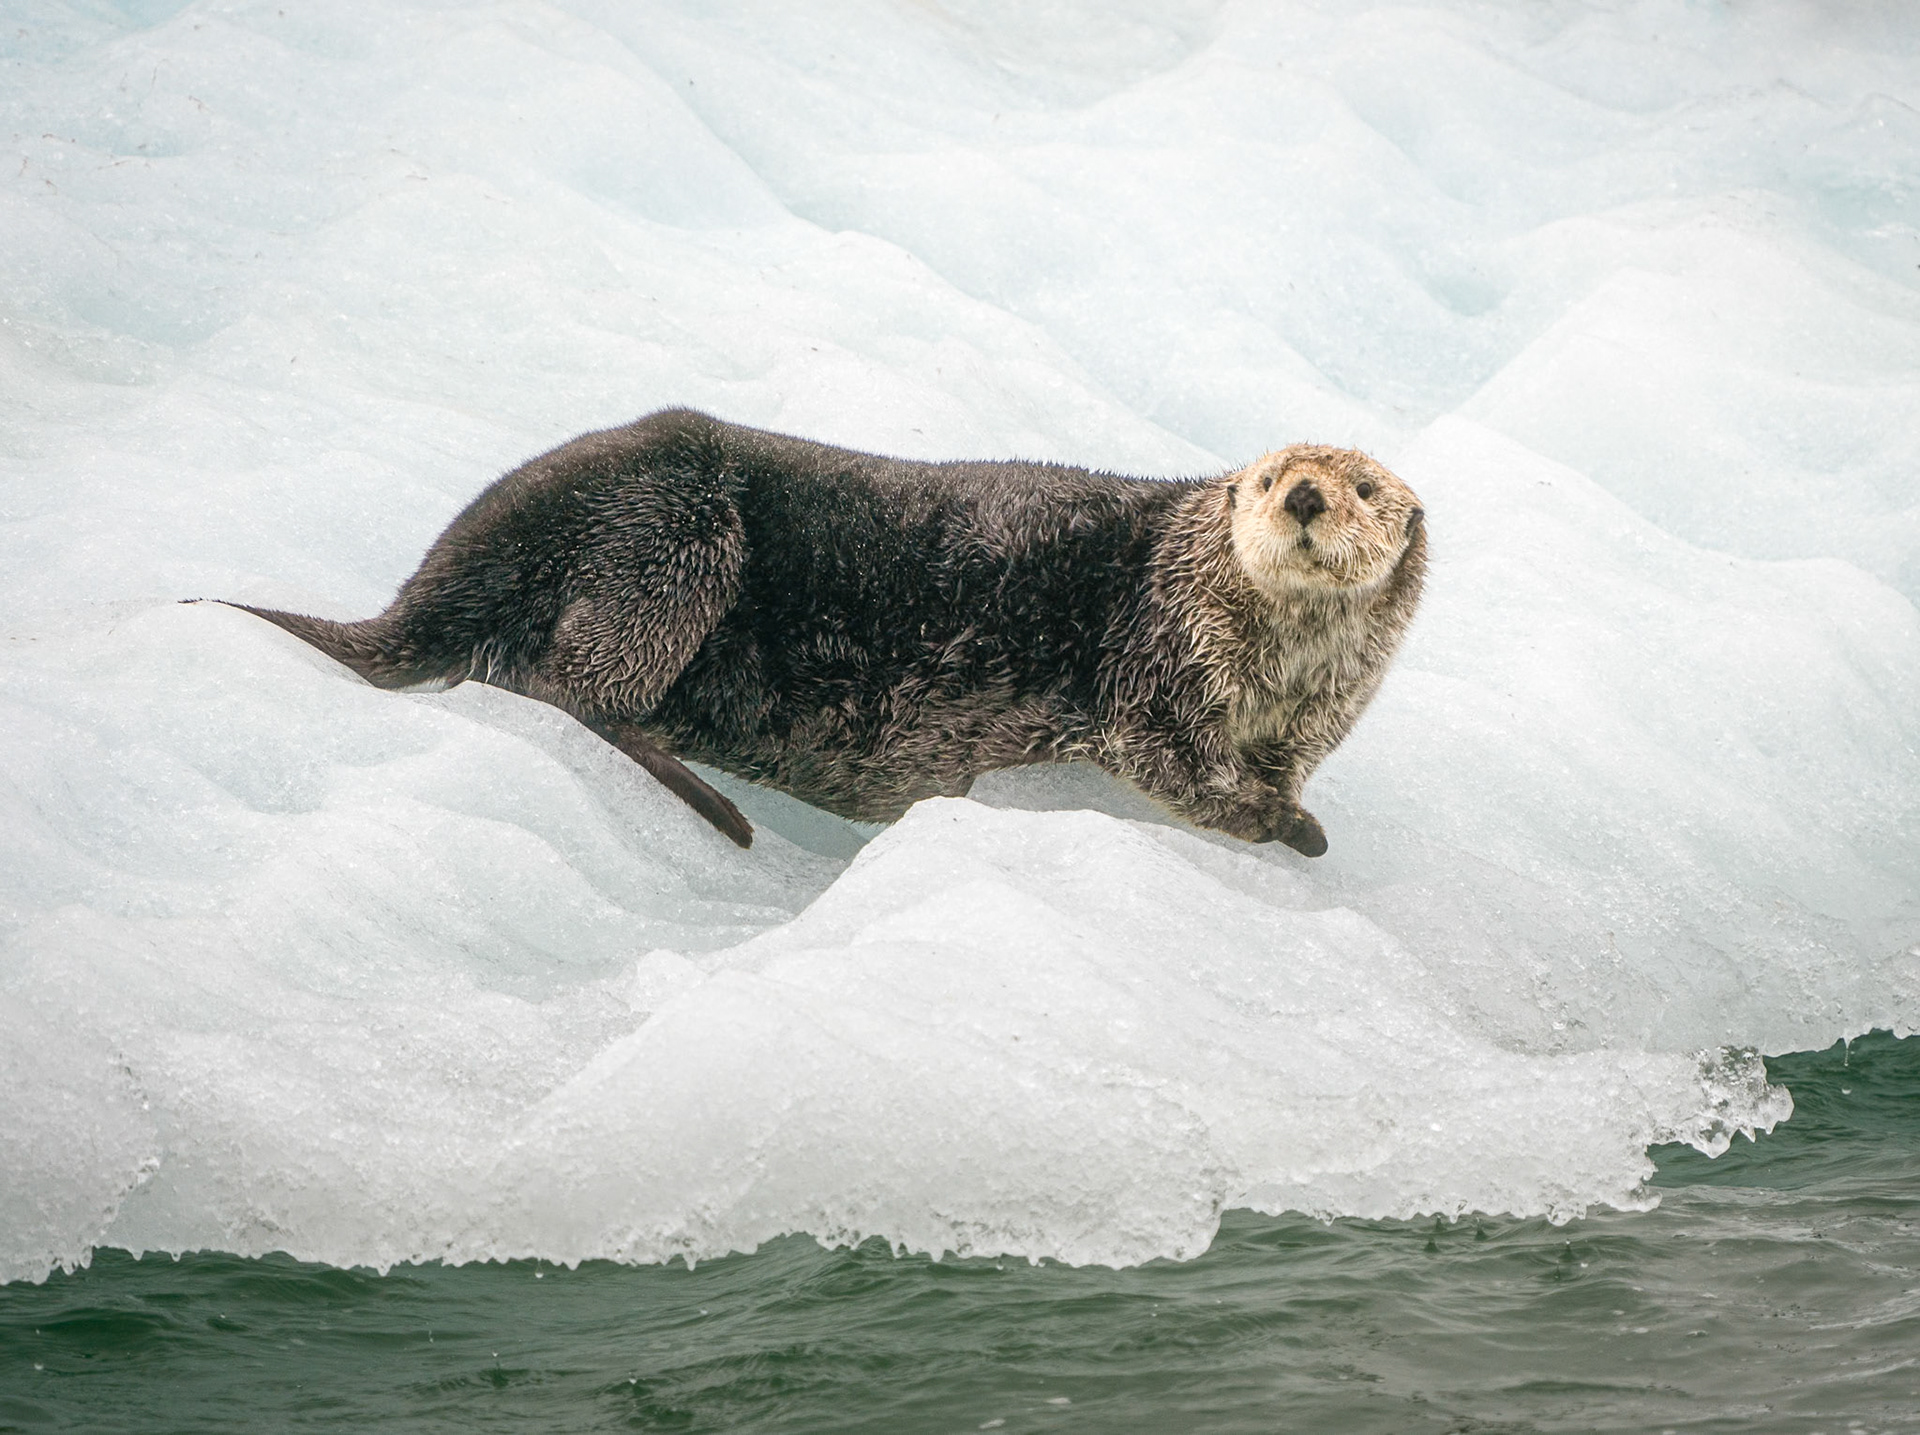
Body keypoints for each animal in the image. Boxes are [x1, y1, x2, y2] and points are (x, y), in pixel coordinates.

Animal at [220, 409, 1425, 854]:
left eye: (1364, 487)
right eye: (1266, 477)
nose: (1303, 495)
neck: (1281, 673)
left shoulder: (1303, 721)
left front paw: (1289, 807)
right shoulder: (1155, 663)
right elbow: (1176, 764)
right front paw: (1294, 829)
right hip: (671, 518)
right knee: (570, 688)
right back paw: (711, 806)